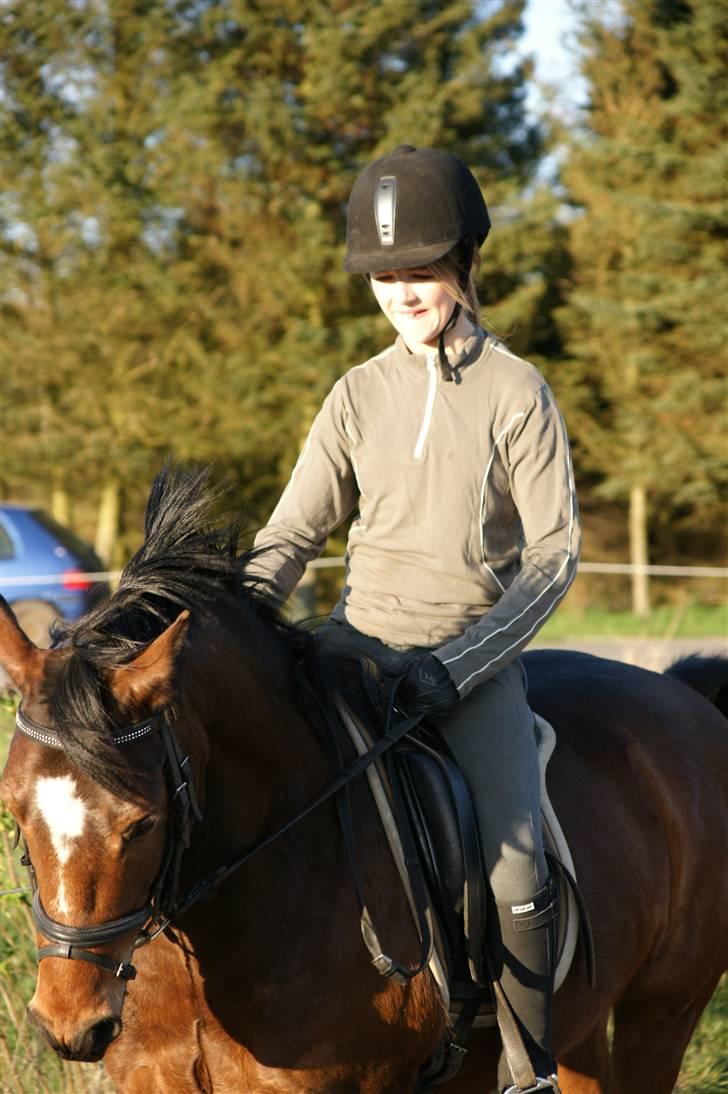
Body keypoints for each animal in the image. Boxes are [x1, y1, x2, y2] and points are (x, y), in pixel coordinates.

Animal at [1, 467, 726, 1094]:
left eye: (143, 822)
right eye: (15, 811)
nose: (70, 1024)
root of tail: (685, 695)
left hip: (661, 1012)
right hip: (585, 1026)